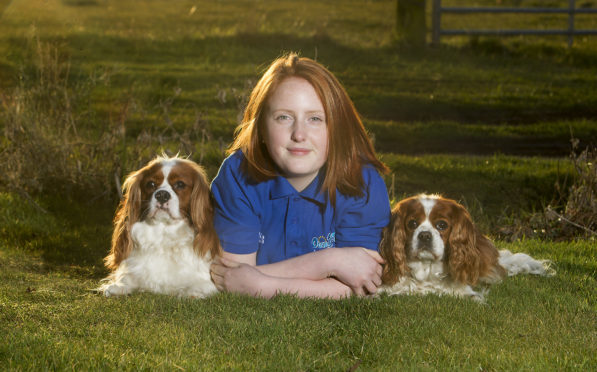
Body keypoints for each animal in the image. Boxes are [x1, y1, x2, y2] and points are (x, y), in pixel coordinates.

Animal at [99, 155, 220, 298]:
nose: (162, 195)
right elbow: (128, 277)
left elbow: (199, 285)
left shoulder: (207, 279)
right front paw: (119, 286)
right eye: (151, 184)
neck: (164, 233)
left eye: (180, 184)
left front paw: (191, 292)